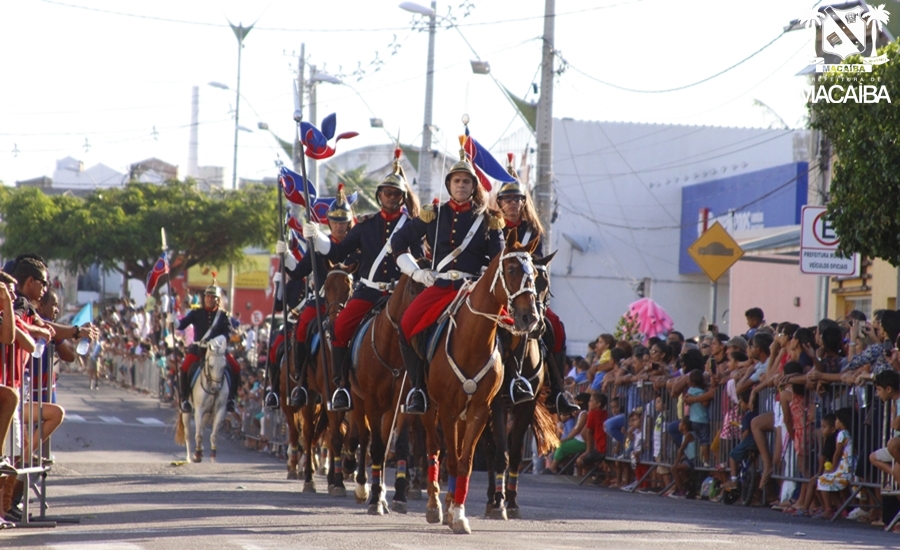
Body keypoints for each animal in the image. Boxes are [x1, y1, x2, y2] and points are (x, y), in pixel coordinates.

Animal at [348, 272, 426, 516]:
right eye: (412, 289)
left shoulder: (402, 404)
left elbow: (398, 446)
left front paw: (397, 496)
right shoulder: (372, 403)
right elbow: (375, 446)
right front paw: (373, 498)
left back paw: (381, 493)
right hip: (358, 401)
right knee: (365, 438)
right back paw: (363, 488)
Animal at [420, 233, 536, 536]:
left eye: (534, 274)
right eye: (511, 270)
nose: (530, 318)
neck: (472, 341)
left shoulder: (480, 410)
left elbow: (465, 461)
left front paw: (459, 514)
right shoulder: (447, 409)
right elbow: (450, 458)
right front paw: (447, 509)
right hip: (429, 408)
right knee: (433, 447)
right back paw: (434, 505)